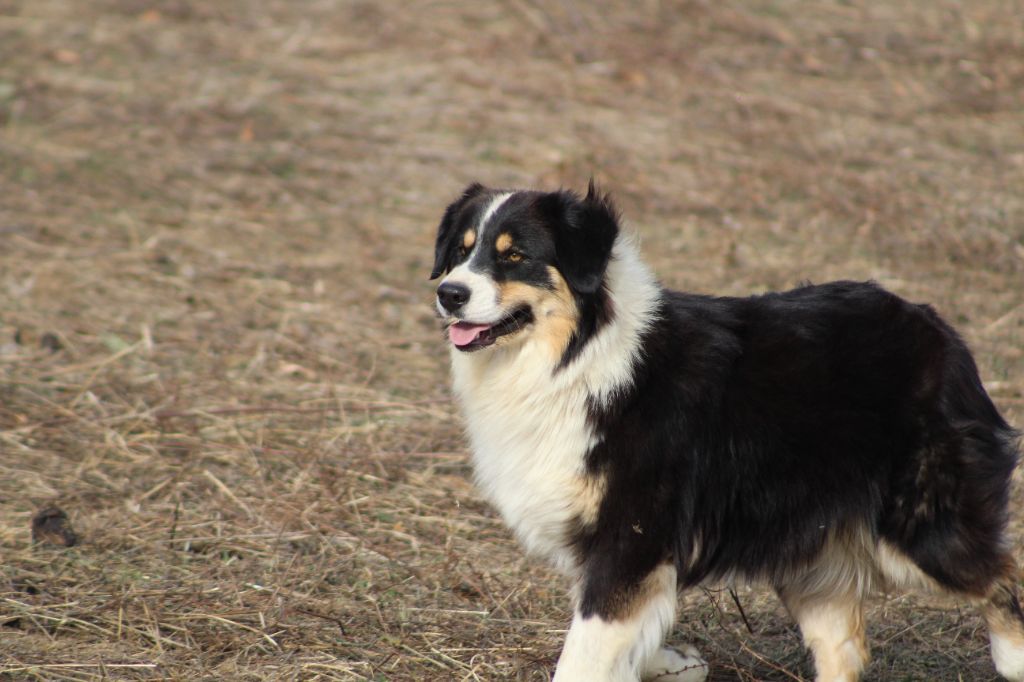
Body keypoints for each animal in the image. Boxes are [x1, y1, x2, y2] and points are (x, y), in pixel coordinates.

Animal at [430, 182, 1024, 679]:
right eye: (460, 252)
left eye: (514, 255)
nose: (449, 294)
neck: (578, 357)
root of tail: (941, 331)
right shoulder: (613, 556)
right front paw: (674, 662)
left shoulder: (630, 541)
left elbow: (583, 657)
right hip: (808, 552)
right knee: (844, 648)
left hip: (925, 530)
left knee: (1000, 578)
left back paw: (1012, 658)